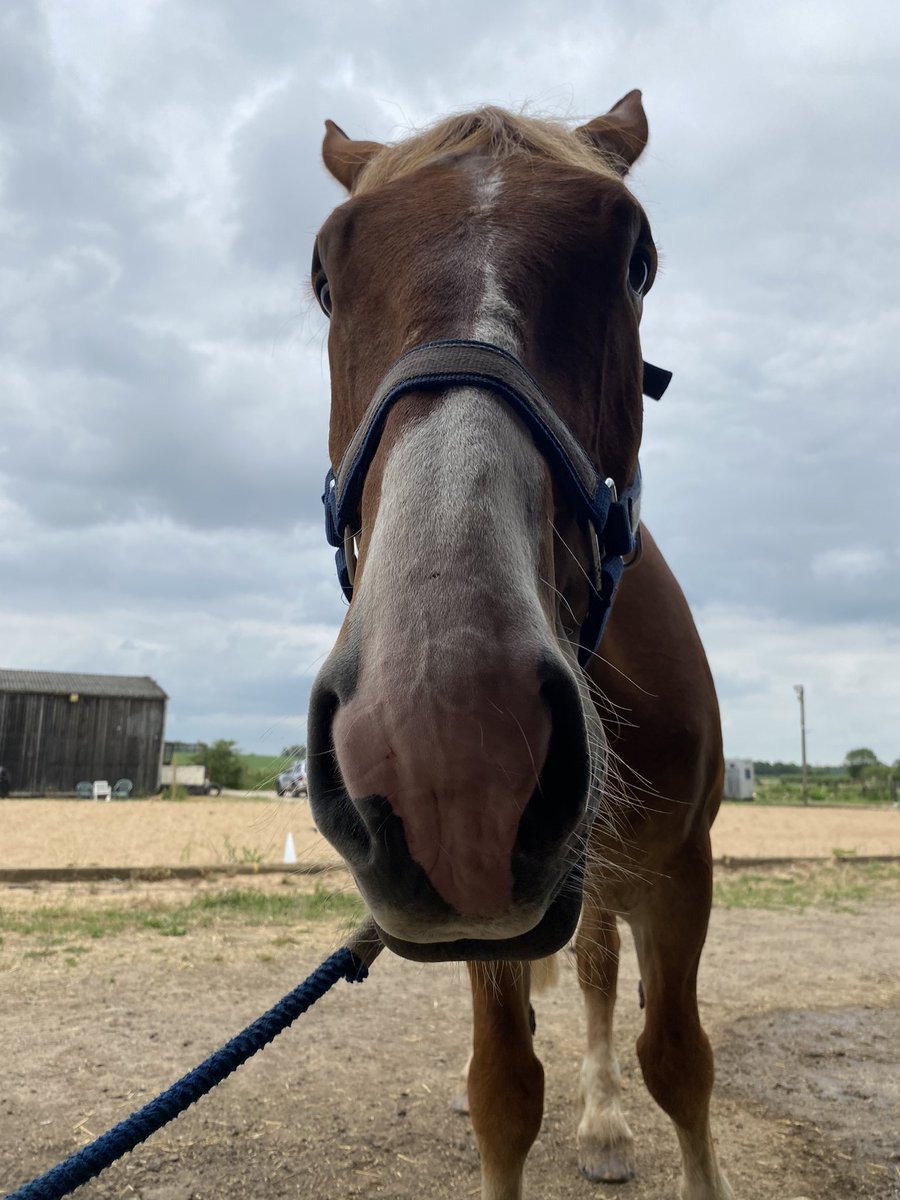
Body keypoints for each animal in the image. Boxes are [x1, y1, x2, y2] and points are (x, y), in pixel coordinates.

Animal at [309, 88, 734, 1195]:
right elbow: (503, 1091)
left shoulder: (680, 872)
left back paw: (606, 1124)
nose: (446, 748)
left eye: (637, 260)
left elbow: (680, 1061)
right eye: (324, 277)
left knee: (598, 979)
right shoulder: (485, 913)